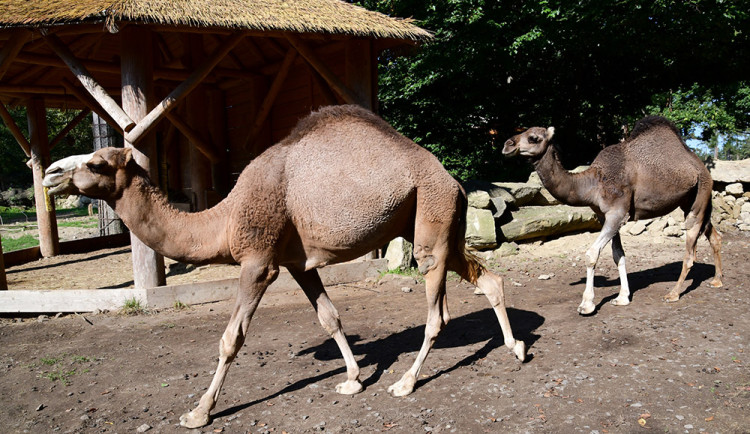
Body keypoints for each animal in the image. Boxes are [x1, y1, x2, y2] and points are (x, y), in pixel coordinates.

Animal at [44, 104, 524, 428]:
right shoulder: (296, 262)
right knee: (487, 278)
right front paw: (353, 379)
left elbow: (231, 339)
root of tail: (454, 181)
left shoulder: (258, 262)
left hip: (430, 218)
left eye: (96, 163)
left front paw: (199, 411)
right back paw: (515, 347)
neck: (227, 218)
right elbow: (329, 317)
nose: (49, 174)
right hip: (434, 224)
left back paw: (406, 383)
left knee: (437, 313)